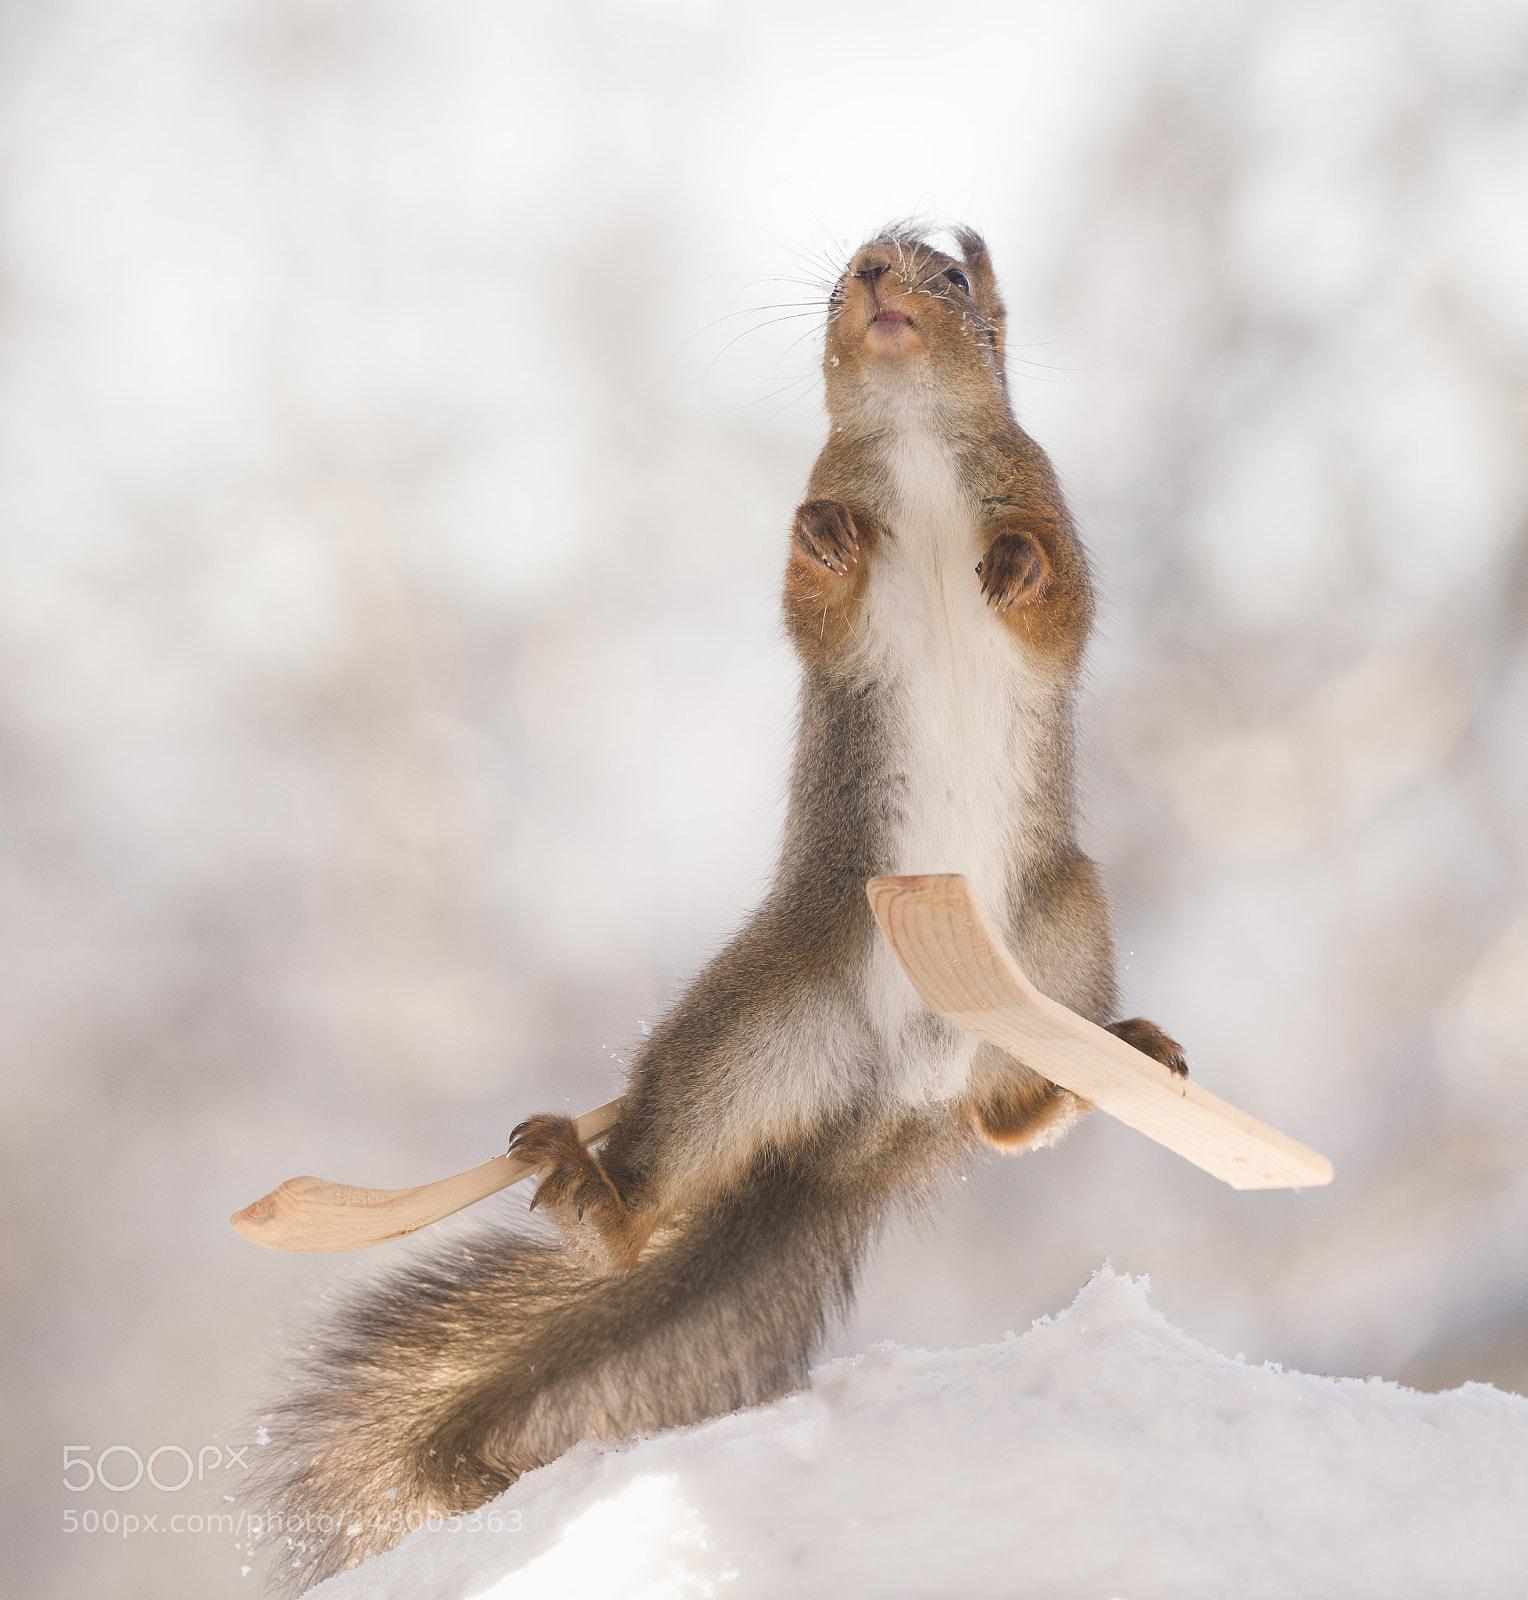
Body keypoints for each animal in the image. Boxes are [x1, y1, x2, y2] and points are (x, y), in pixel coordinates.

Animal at [261, 224, 1186, 1592]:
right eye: (847, 267)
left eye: (951, 278)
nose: (876, 277)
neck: (912, 434)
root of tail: (875, 1125)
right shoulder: (824, 586)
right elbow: (815, 596)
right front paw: (828, 537)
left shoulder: (1044, 497)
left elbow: (1054, 591)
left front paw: (1009, 562)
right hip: (750, 1024)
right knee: (668, 1183)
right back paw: (603, 1200)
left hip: (1064, 928)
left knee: (1011, 1114)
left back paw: (1110, 1058)